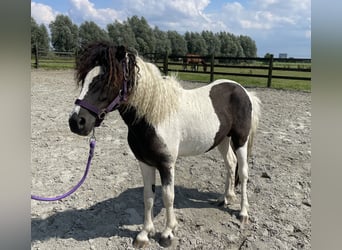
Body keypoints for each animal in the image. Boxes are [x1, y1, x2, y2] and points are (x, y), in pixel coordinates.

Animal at [69, 41, 262, 248]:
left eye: (106, 80)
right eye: (84, 79)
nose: (76, 122)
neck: (154, 117)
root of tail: (244, 91)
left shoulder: (166, 164)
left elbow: (168, 197)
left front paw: (168, 233)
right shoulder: (145, 163)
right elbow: (148, 196)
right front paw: (144, 234)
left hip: (240, 140)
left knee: (243, 172)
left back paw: (243, 213)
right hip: (223, 139)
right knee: (230, 164)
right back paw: (225, 198)